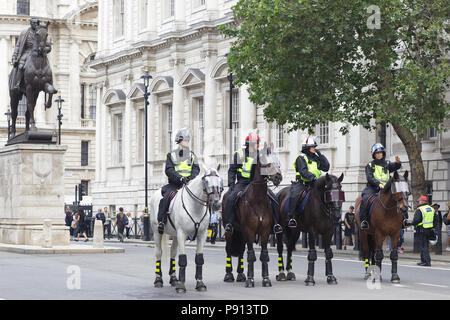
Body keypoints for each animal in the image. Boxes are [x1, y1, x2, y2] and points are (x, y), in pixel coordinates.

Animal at [149, 166, 223, 294]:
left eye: (220, 182)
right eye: (206, 181)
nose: (217, 204)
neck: (195, 207)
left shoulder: (202, 235)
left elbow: (199, 259)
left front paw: (200, 283)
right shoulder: (182, 234)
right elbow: (183, 259)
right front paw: (181, 286)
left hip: (174, 235)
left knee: (173, 252)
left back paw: (174, 278)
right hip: (157, 232)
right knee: (158, 253)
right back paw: (158, 280)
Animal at [221, 142, 282, 288]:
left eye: (278, 161)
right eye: (266, 162)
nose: (278, 177)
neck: (258, 200)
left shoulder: (264, 231)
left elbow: (264, 255)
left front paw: (265, 279)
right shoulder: (249, 230)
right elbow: (251, 255)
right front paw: (250, 279)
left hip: (241, 233)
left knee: (241, 250)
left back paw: (240, 274)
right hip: (230, 231)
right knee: (229, 249)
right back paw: (229, 274)